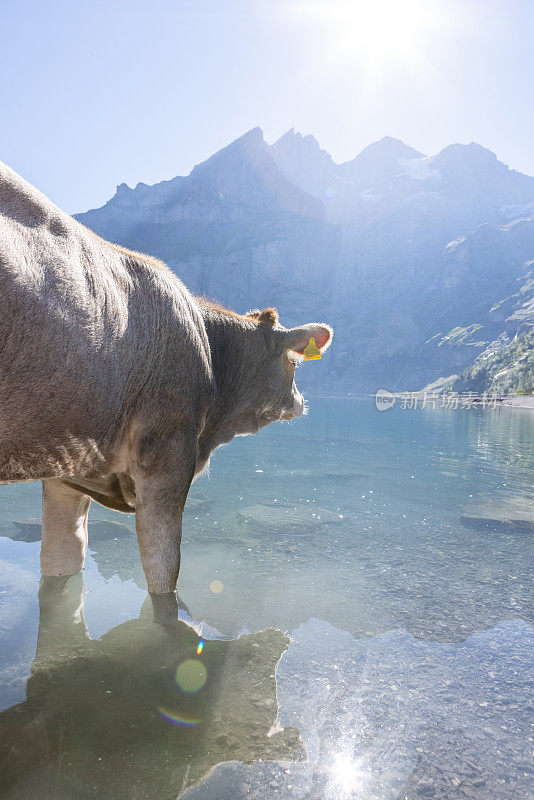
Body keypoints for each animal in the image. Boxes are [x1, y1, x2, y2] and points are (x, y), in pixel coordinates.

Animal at [0, 159, 332, 616]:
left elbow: (62, 561)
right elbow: (164, 573)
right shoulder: (168, 459)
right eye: (295, 362)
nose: (302, 402)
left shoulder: (67, 467)